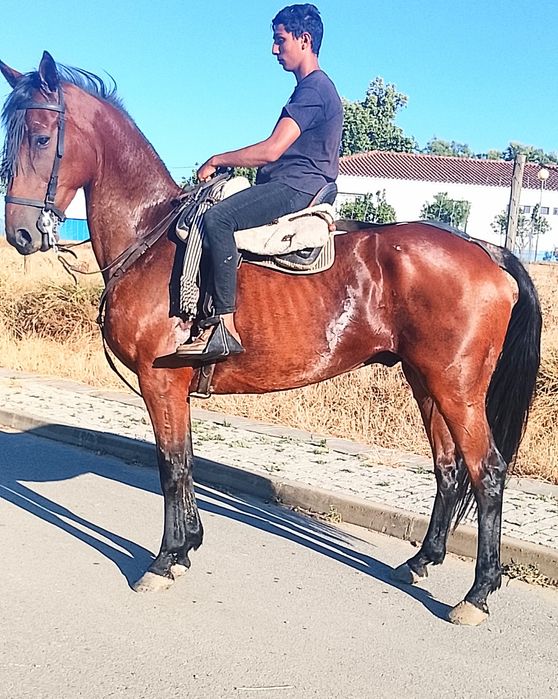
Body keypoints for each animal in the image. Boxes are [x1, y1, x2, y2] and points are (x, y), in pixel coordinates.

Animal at [1, 52, 541, 626]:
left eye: (40, 136)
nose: (19, 233)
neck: (152, 237)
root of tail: (485, 249)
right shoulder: (174, 387)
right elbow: (185, 461)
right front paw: (186, 548)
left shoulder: (159, 382)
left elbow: (171, 466)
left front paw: (165, 559)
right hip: (427, 382)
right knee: (448, 469)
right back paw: (421, 561)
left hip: (457, 389)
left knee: (487, 472)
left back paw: (478, 594)